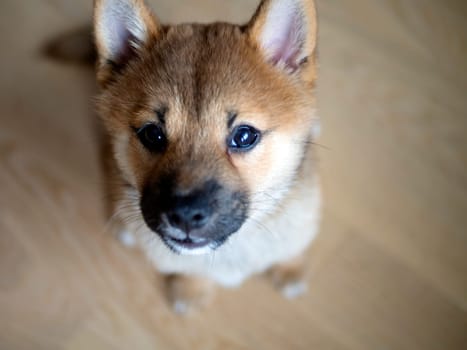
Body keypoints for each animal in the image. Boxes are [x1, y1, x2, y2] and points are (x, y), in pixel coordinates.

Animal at [95, 0, 322, 312]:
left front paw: (291, 269)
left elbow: (291, 247)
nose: (185, 216)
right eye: (152, 134)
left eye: (244, 136)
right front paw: (190, 288)